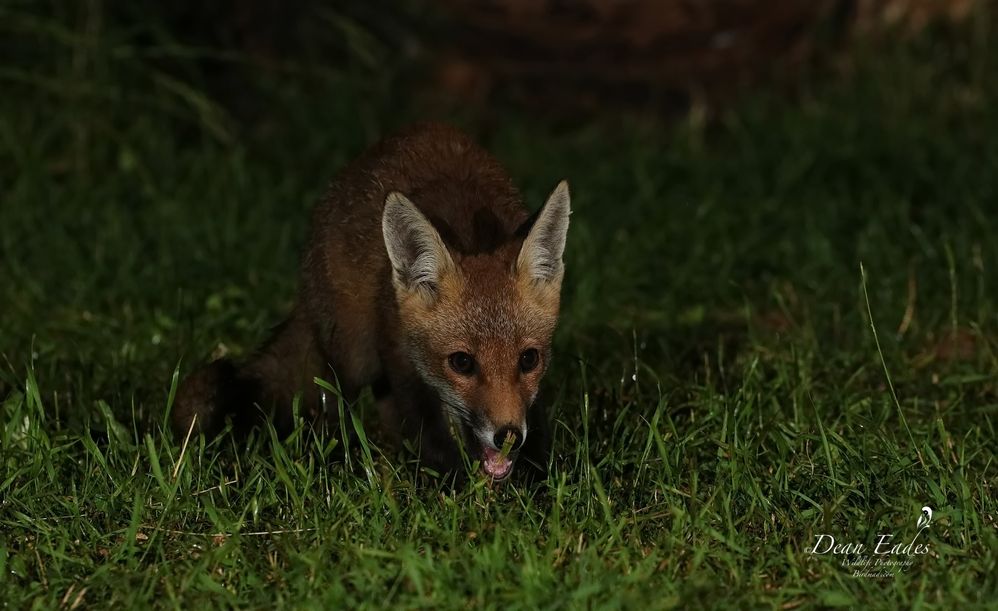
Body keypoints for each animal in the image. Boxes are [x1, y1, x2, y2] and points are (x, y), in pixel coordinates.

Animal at [174, 122, 572, 480]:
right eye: (462, 362)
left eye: (529, 359)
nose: (508, 436)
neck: (472, 231)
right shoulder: (401, 358)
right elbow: (426, 428)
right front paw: (450, 483)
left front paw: (533, 481)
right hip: (354, 356)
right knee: (339, 401)